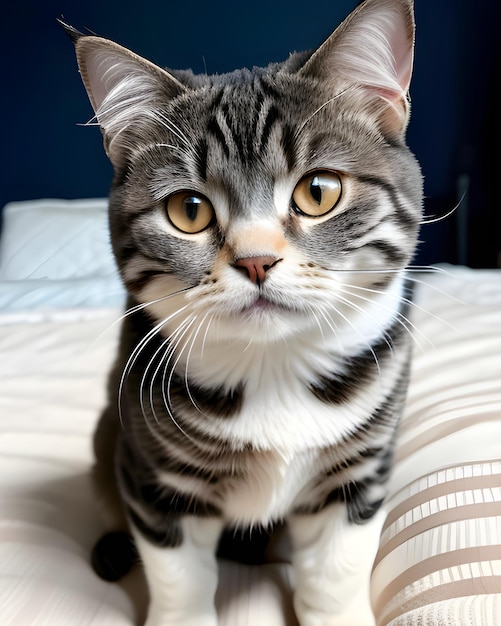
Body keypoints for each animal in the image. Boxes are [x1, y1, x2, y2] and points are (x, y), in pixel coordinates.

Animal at [62, 0, 422, 620]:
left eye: (319, 191)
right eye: (188, 210)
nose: (256, 261)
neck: (274, 365)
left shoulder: (360, 469)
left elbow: (338, 569)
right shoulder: (154, 476)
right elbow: (179, 573)